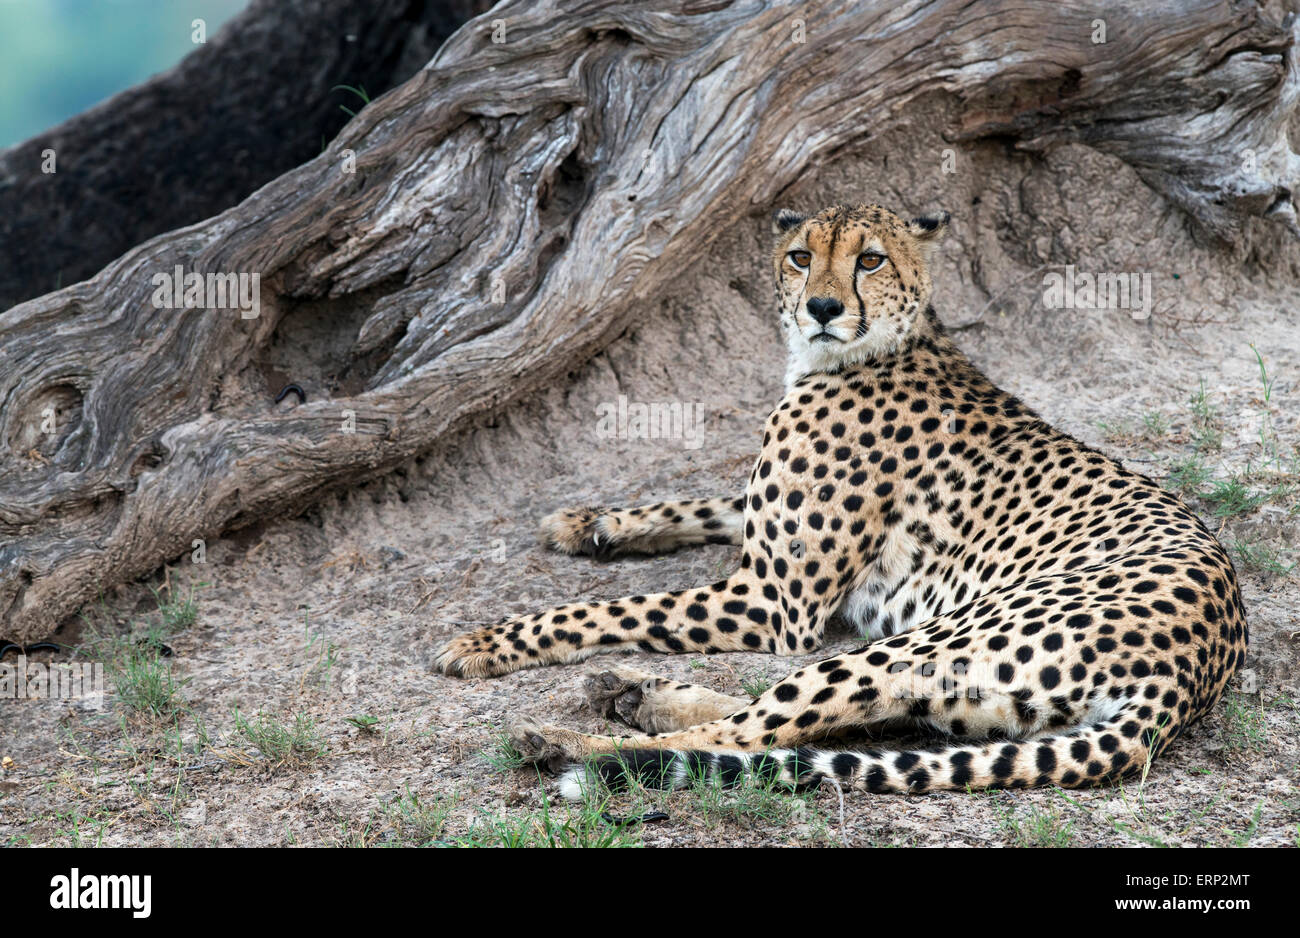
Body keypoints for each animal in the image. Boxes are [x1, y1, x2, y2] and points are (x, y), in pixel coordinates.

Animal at [436, 198, 1248, 795]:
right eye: (802, 256)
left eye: (870, 259)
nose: (823, 306)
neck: (873, 348)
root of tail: (1196, 670)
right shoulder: (759, 545)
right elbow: (701, 505)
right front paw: (589, 522)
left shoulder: (770, 603)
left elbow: (609, 609)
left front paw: (486, 642)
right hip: (972, 706)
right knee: (816, 726)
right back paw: (636, 692)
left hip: (922, 642)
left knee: (750, 734)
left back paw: (572, 743)